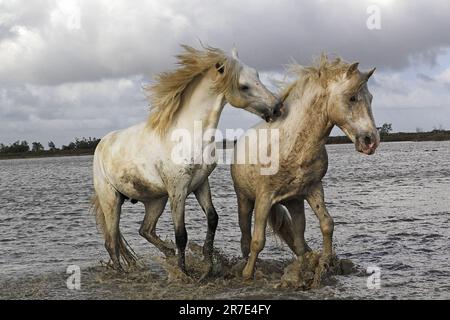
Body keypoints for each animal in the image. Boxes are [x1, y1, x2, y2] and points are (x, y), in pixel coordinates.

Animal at [91, 45, 282, 276]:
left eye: (257, 75)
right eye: (243, 85)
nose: (277, 107)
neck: (188, 134)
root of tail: (102, 144)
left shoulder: (200, 183)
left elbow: (213, 218)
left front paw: (207, 266)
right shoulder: (178, 190)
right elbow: (181, 234)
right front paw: (185, 273)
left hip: (156, 200)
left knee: (145, 230)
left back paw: (168, 254)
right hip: (111, 200)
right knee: (111, 241)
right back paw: (124, 272)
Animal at [230, 56, 378, 282]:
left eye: (370, 97)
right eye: (352, 98)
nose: (371, 141)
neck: (293, 143)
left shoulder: (313, 189)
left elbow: (327, 224)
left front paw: (326, 263)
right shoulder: (264, 197)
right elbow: (257, 240)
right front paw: (247, 274)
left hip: (294, 203)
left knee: (299, 241)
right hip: (245, 200)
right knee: (245, 237)